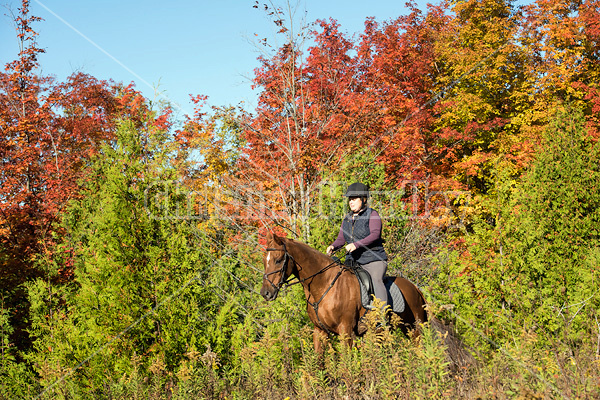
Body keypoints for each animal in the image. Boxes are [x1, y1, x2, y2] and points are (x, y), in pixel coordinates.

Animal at [262, 233, 426, 352]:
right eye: (265, 261)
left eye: (278, 260)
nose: (265, 293)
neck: (324, 285)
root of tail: (415, 288)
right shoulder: (319, 331)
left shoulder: (345, 331)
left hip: (416, 329)